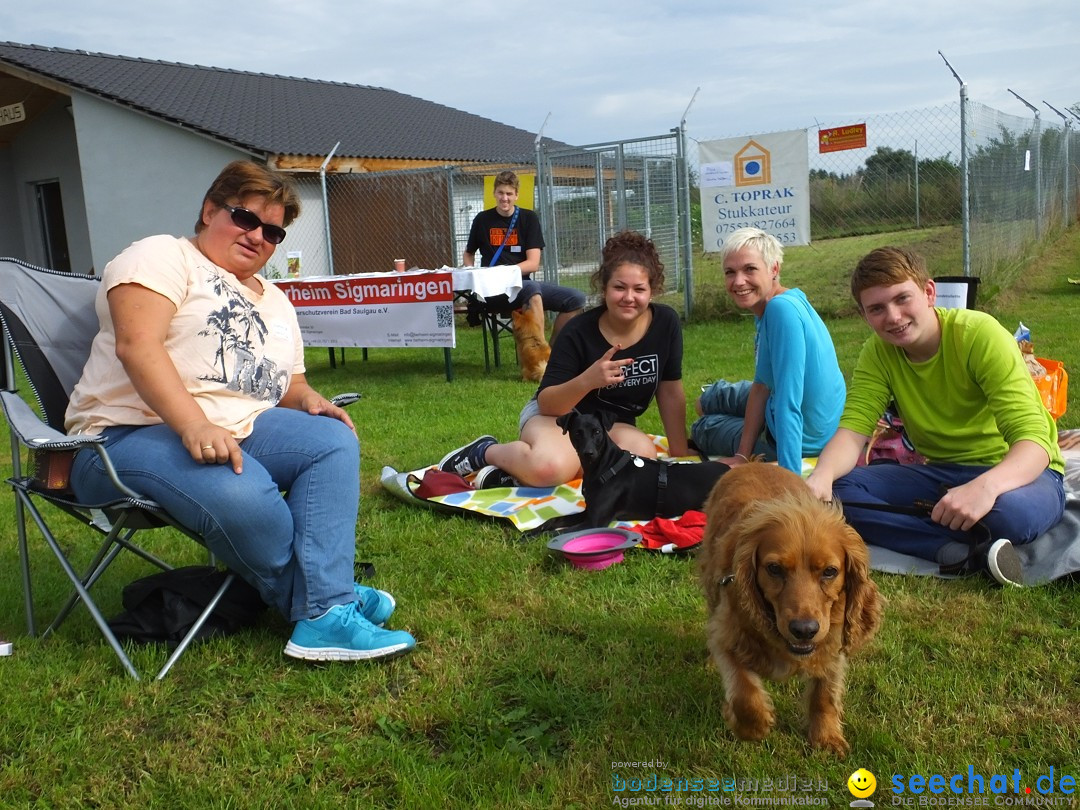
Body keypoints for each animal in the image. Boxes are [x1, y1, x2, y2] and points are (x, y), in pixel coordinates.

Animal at [557, 408, 734, 529]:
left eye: (597, 432)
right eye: (577, 433)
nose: (588, 453)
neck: (604, 467)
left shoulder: (594, 522)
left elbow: (560, 533)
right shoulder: (588, 512)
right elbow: (556, 521)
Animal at [695, 466, 881, 760]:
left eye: (830, 571)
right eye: (774, 569)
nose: (804, 630)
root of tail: (751, 462)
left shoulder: (832, 644)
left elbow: (824, 695)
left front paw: (826, 737)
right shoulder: (728, 632)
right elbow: (743, 690)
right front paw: (753, 727)